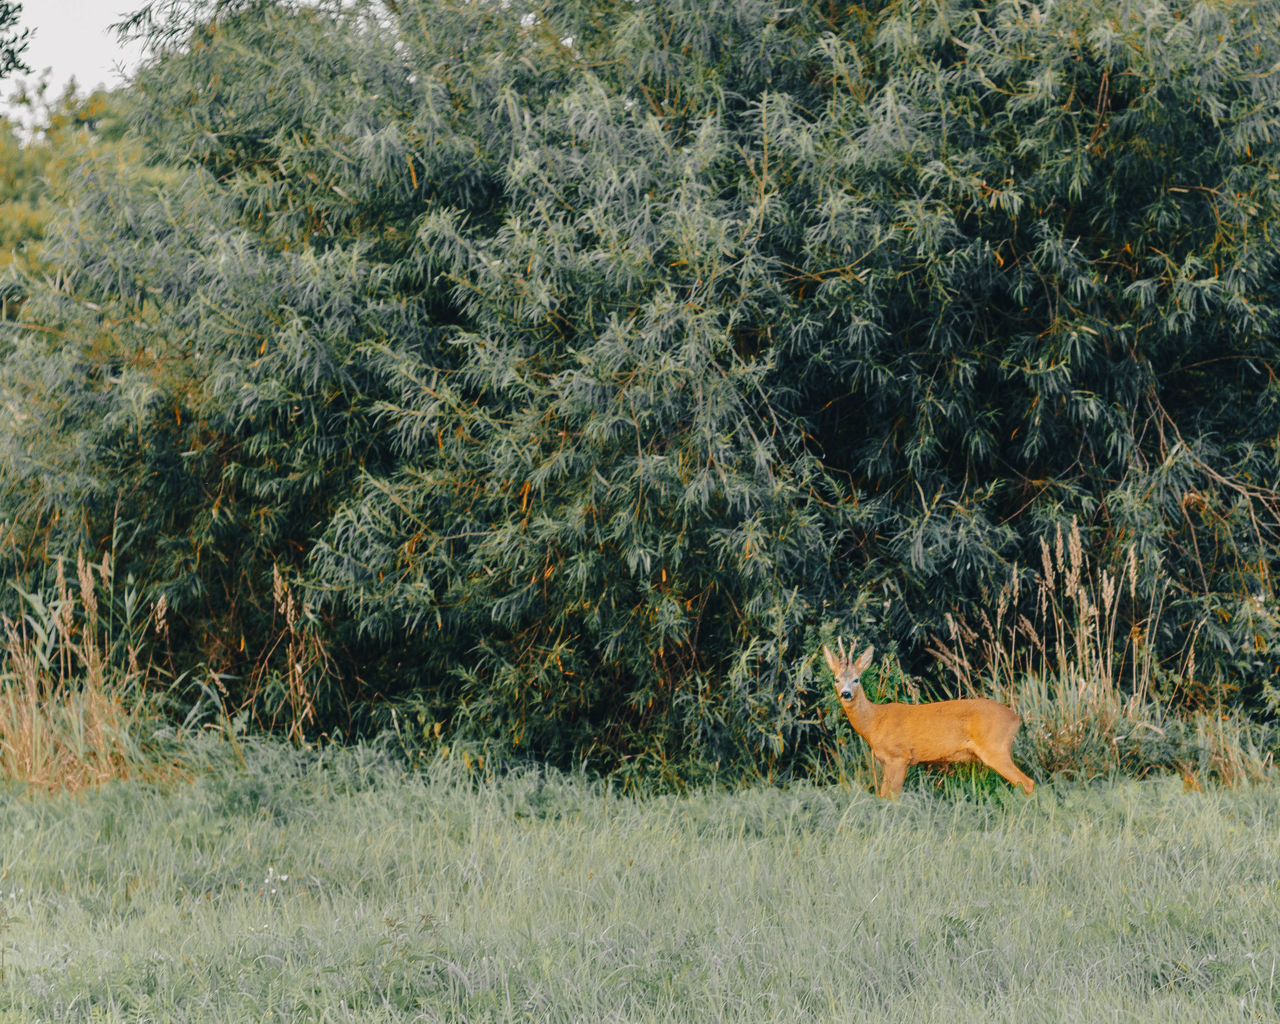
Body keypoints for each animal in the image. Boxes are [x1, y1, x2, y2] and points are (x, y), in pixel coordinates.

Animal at [824, 640, 1034, 798]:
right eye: (836, 679)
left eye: (856, 679)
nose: (846, 693)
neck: (875, 721)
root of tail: (1016, 718)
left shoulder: (898, 757)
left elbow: (890, 798)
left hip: (995, 748)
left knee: (1028, 783)